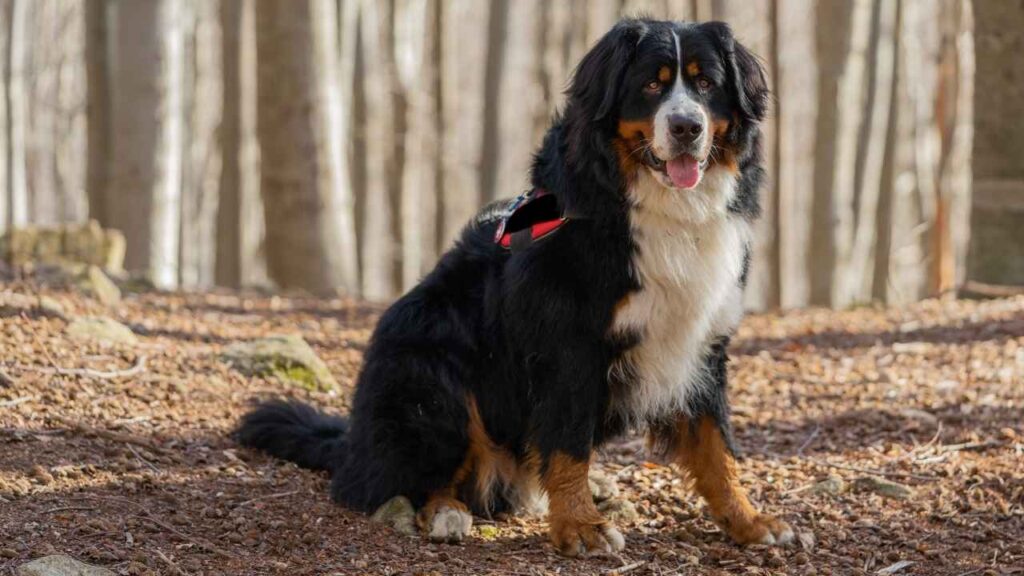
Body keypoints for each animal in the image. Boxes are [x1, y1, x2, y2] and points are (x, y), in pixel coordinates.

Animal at [237, 17, 790, 557]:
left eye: (706, 84)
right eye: (651, 84)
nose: (686, 127)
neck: (663, 211)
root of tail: (353, 439)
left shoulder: (701, 340)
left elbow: (717, 445)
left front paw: (749, 521)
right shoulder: (569, 344)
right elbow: (568, 442)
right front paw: (580, 526)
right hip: (432, 375)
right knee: (397, 480)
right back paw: (447, 513)